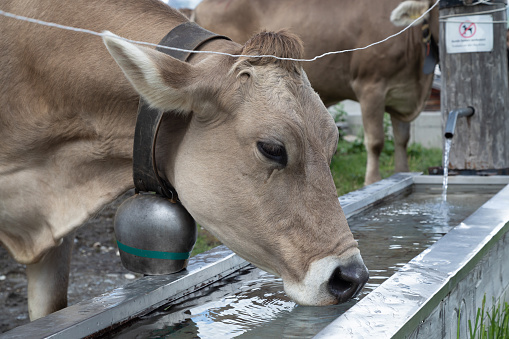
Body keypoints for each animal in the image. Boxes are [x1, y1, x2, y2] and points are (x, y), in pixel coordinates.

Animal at [193, 0, 436, 186]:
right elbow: (376, 142)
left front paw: (402, 172)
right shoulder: (371, 85)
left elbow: (402, 140)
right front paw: (372, 182)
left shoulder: (401, 93)